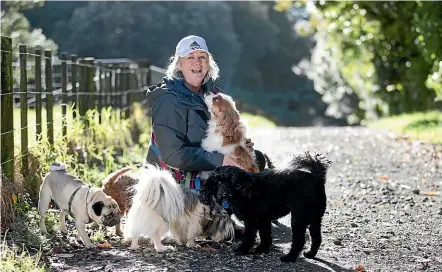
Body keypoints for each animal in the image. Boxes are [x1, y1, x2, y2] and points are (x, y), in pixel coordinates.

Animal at [199, 152, 330, 262]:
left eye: (231, 181)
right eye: (217, 182)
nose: (223, 194)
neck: (243, 189)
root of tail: (316, 176)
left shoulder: (251, 220)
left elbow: (249, 236)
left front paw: (242, 250)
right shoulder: (263, 218)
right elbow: (265, 235)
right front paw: (262, 249)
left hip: (299, 217)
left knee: (299, 240)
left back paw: (289, 257)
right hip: (315, 216)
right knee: (316, 237)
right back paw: (310, 254)